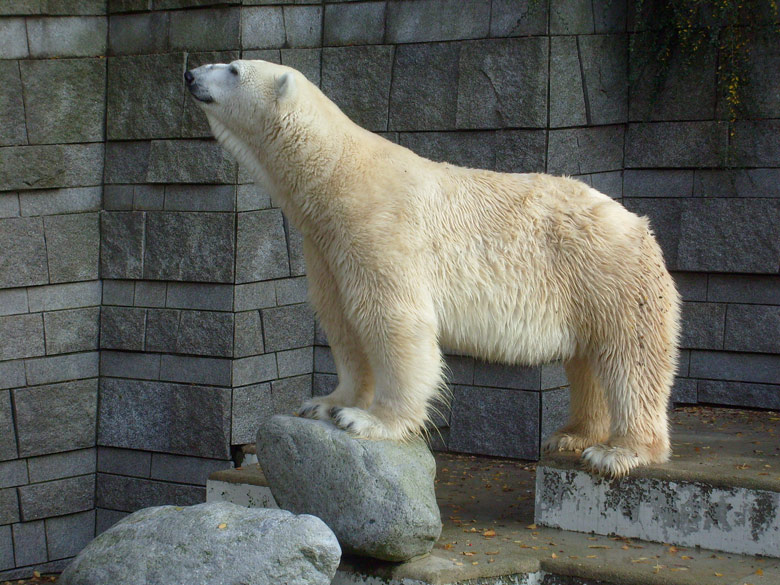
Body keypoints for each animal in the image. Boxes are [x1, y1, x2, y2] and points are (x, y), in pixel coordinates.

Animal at [186, 60, 680, 480]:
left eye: (233, 69)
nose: (190, 73)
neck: (336, 176)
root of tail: (638, 223)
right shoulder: (326, 247)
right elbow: (342, 323)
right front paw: (326, 403)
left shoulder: (380, 229)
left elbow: (393, 322)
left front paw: (370, 420)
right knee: (589, 360)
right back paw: (572, 434)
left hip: (609, 273)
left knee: (630, 359)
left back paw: (618, 451)